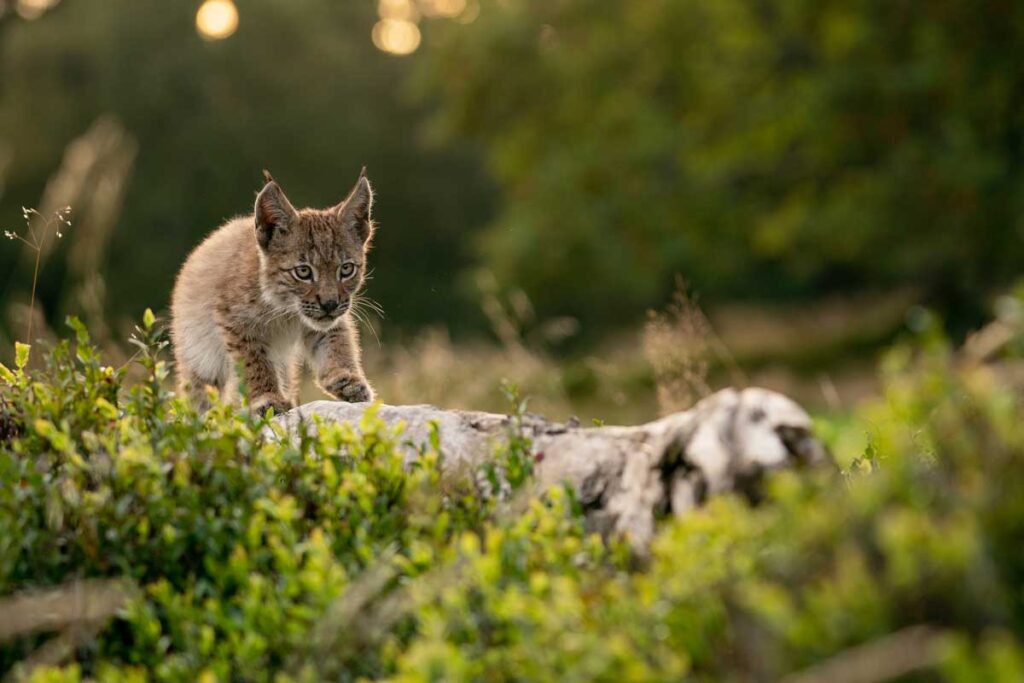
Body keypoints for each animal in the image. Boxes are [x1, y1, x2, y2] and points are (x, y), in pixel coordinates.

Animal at [169, 169, 378, 417]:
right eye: (303, 272)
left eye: (346, 269)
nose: (329, 304)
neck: (284, 308)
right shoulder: (236, 323)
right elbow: (254, 363)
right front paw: (267, 399)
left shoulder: (329, 317)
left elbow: (337, 343)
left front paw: (347, 380)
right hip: (200, 357)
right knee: (199, 393)